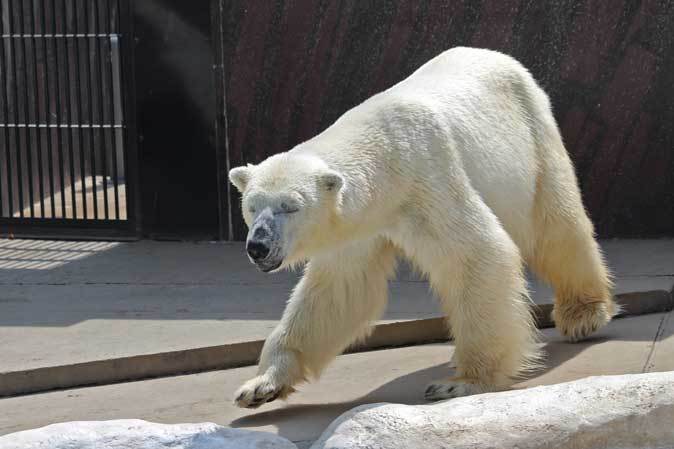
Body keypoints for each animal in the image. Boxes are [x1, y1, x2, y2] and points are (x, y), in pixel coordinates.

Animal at [227, 47, 616, 408]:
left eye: (291, 206)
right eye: (251, 205)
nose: (258, 246)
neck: (383, 155)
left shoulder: (426, 178)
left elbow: (476, 252)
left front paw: (461, 383)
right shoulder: (362, 225)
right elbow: (338, 288)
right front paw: (261, 385)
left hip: (533, 134)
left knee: (555, 222)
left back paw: (583, 313)